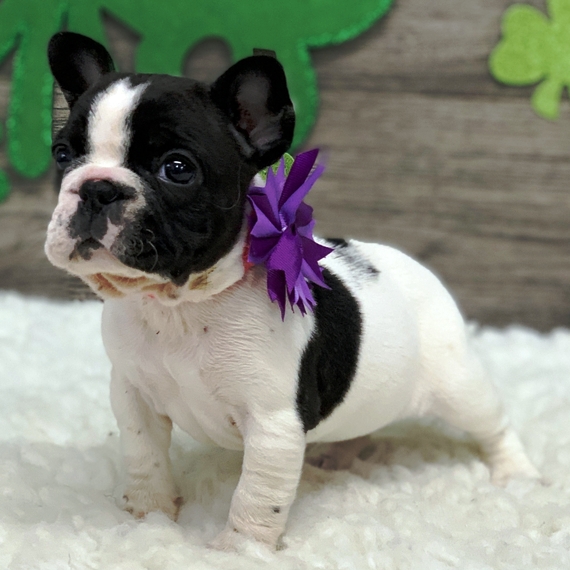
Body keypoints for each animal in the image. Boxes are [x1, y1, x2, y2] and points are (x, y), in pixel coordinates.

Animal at [45, 32, 536, 552]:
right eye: (63, 155)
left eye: (176, 168)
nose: (97, 188)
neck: (181, 306)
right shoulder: (133, 395)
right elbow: (145, 458)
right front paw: (147, 519)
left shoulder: (273, 424)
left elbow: (256, 495)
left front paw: (239, 550)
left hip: (457, 383)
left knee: (493, 424)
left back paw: (517, 475)